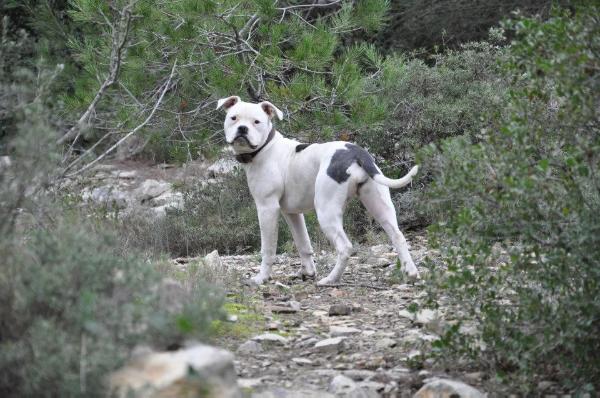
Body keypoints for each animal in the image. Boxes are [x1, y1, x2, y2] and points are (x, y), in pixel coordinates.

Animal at [218, 95, 420, 284]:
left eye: (256, 121)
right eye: (233, 118)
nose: (242, 129)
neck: (265, 148)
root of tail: (356, 152)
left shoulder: (267, 208)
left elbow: (267, 249)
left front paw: (262, 278)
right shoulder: (292, 213)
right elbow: (303, 243)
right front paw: (307, 272)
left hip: (326, 211)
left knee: (345, 247)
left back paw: (331, 279)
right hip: (379, 206)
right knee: (397, 236)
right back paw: (410, 272)